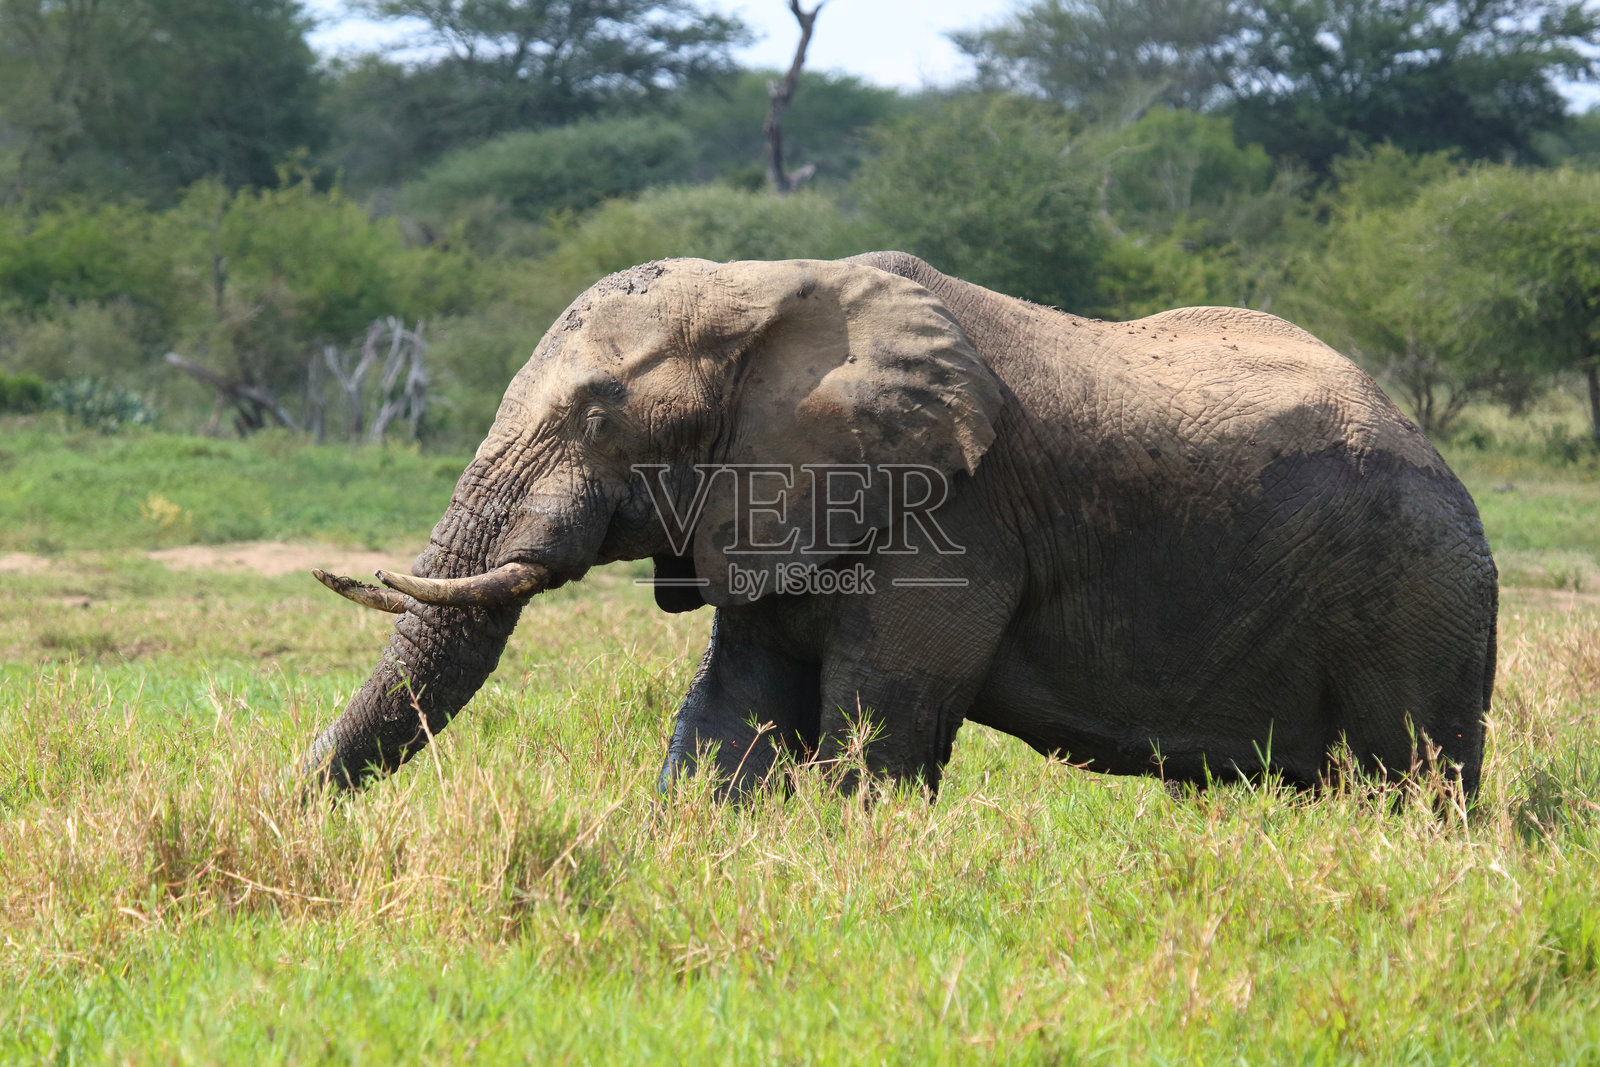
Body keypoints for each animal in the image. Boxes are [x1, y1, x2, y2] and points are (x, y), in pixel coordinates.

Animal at [302, 251, 1498, 800]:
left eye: (595, 412)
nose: (284, 808)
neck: (764, 291)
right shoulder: (774, 503)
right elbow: (732, 716)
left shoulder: (952, 514)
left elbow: (882, 726)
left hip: (1418, 588)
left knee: (1417, 773)